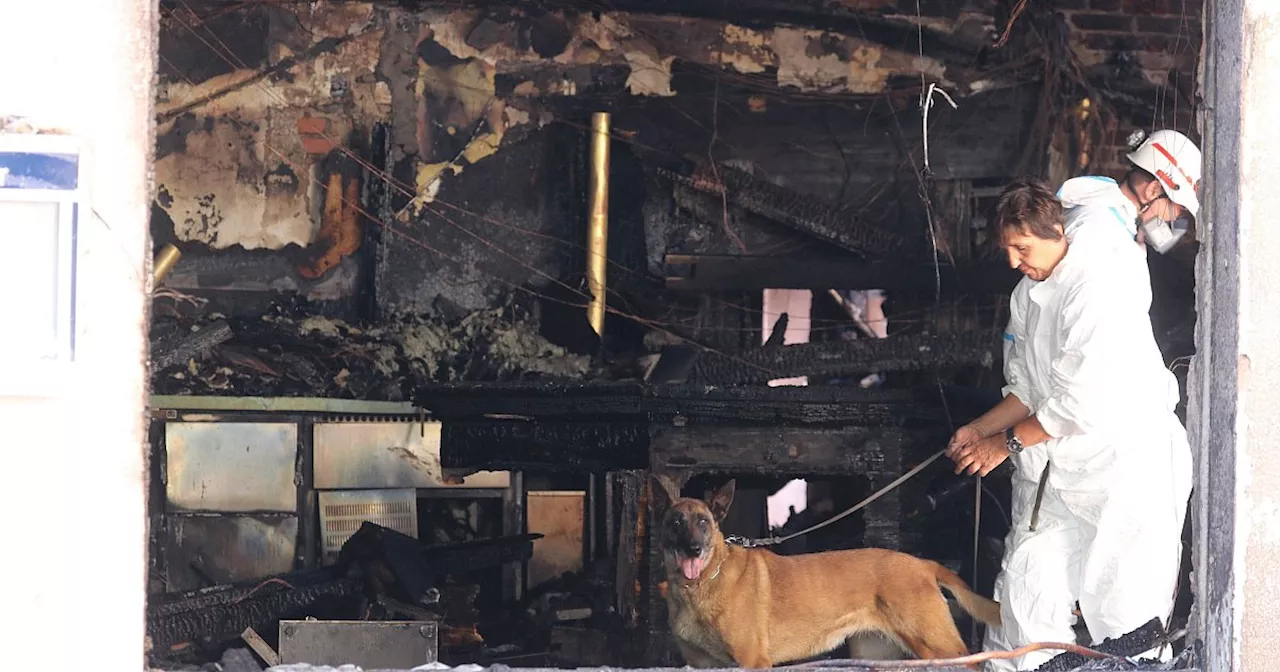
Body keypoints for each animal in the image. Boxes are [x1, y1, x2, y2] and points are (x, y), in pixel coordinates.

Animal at [655, 473, 1003, 665]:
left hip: (939, 646)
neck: (697, 587)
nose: (693, 549)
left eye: (703, 522)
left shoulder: (753, 661)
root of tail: (922, 563)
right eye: (676, 523)